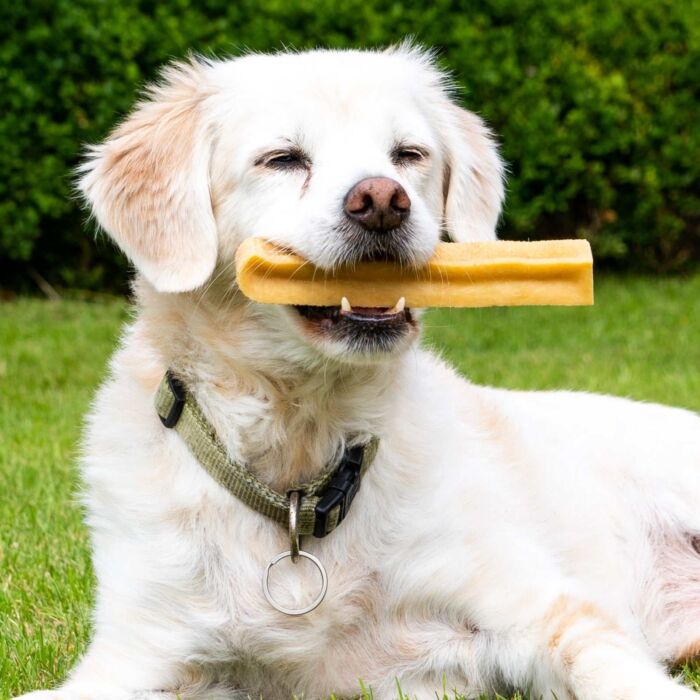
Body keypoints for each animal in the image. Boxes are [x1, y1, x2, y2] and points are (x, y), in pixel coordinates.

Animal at [15, 46, 700, 700]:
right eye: (283, 159)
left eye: (409, 155)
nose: (382, 201)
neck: (301, 468)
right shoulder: (138, 656)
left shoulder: (529, 601)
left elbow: (607, 665)